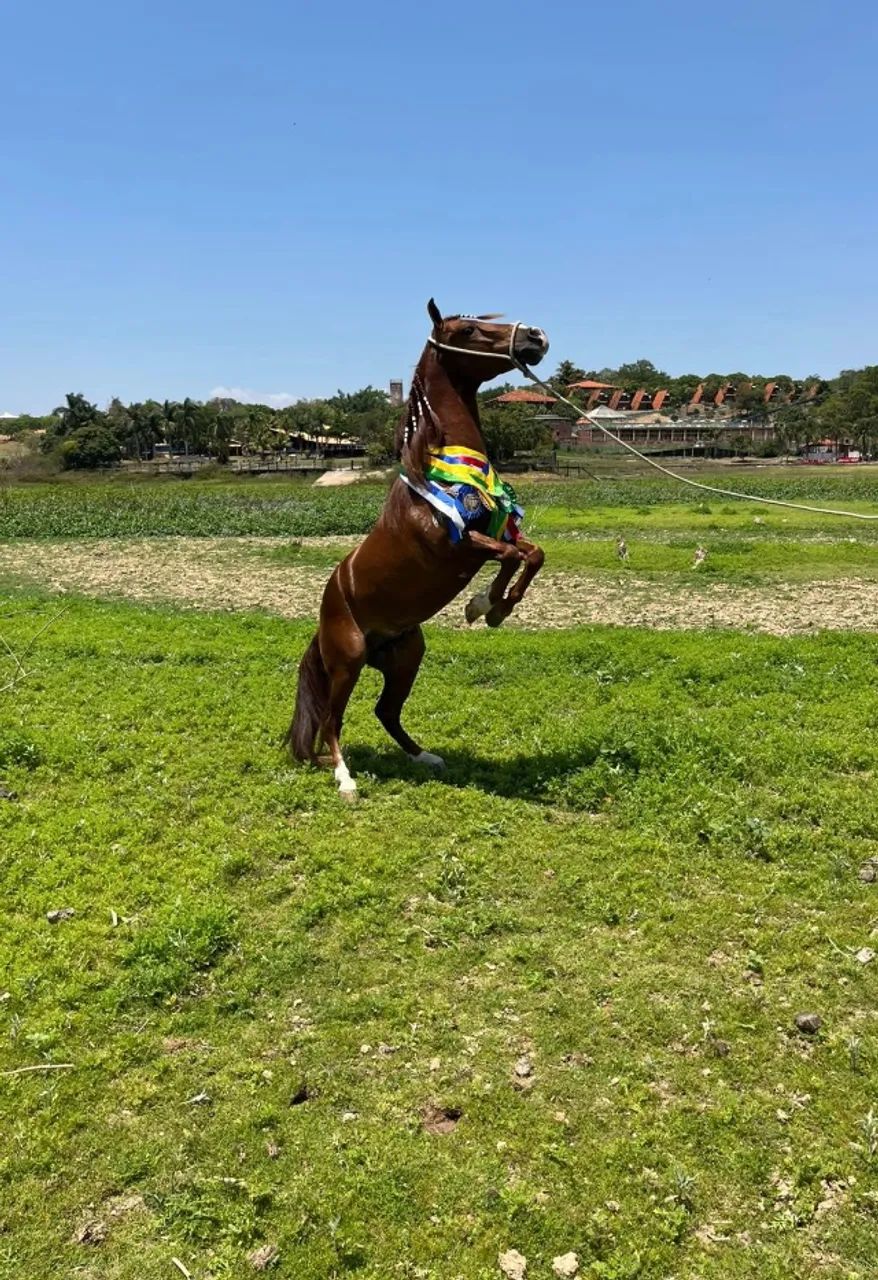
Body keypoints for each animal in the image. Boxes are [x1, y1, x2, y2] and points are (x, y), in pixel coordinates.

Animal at [285, 299, 549, 796]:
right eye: (468, 330)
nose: (536, 337)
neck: (438, 475)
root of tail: (327, 611)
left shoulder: (497, 533)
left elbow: (532, 554)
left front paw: (495, 607)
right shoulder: (457, 548)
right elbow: (510, 555)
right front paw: (484, 606)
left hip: (406, 657)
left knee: (385, 711)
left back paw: (425, 757)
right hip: (347, 660)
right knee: (332, 719)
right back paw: (345, 779)